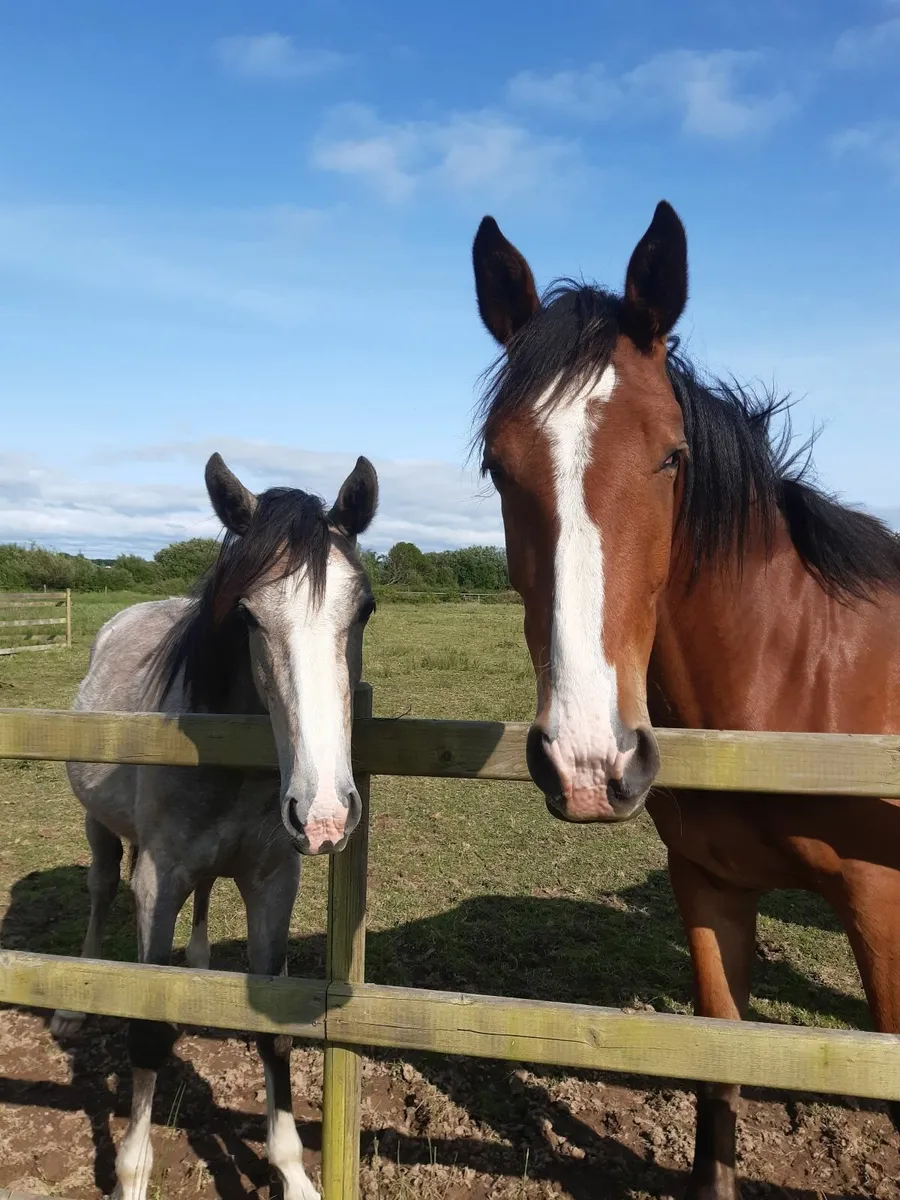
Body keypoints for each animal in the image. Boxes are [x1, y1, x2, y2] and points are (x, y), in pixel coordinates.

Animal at [51, 451, 378, 1200]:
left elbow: (273, 1032)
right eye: (248, 615)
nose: (324, 814)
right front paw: (132, 1176)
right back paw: (75, 1000)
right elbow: (146, 1034)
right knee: (98, 892)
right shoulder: (156, 883)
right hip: (98, 831)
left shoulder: (273, 883)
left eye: (365, 608)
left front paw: (292, 1173)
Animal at [470, 201, 900, 1199]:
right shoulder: (709, 887)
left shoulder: (882, 908)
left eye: (672, 455)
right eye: (498, 467)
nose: (589, 762)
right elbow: (719, 1069)